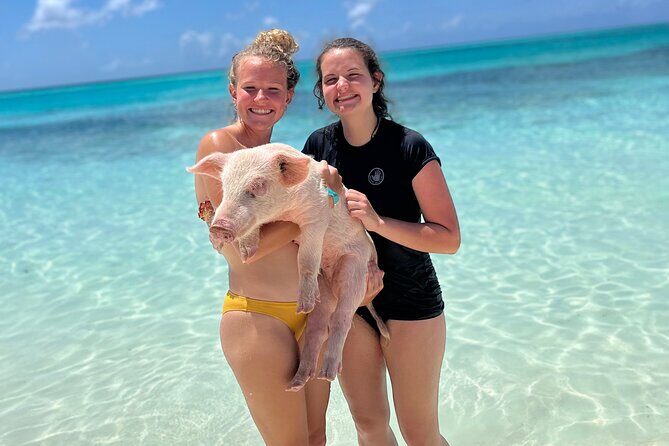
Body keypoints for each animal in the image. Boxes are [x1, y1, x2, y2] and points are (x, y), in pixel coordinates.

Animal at [188, 143, 389, 391]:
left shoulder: (316, 215)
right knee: (317, 329)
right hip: (326, 293)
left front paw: (302, 306)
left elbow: (307, 259)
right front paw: (246, 252)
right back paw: (296, 381)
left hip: (354, 268)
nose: (218, 227)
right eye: (224, 187)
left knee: (342, 319)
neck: (285, 213)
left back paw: (325, 370)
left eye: (258, 186)